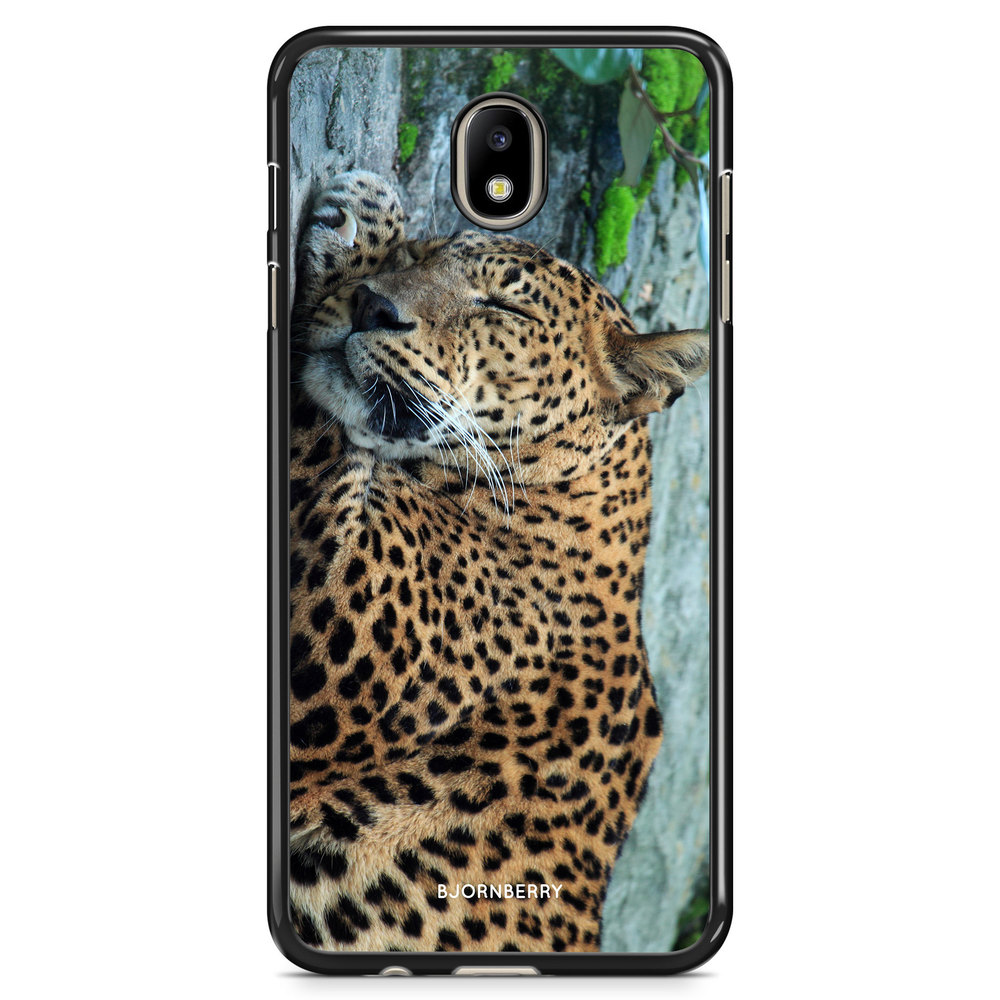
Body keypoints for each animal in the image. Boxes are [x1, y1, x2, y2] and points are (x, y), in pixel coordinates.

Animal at [286, 171, 709, 953]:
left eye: (503, 306)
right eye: (426, 254)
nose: (372, 305)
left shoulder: (341, 617)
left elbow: (322, 428)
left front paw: (361, 217)